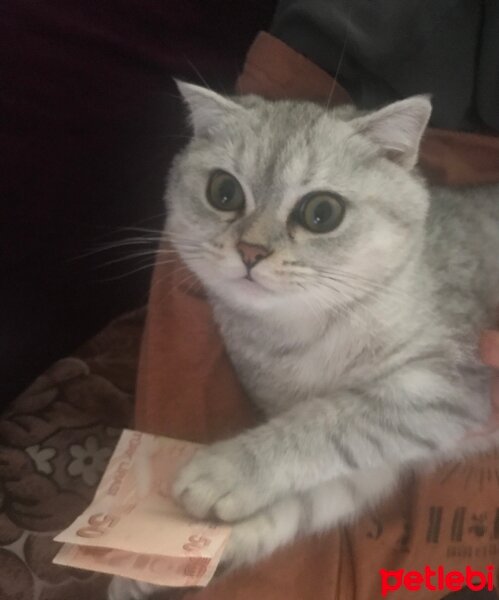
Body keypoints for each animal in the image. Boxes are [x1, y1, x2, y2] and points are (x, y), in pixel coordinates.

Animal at [108, 81, 499, 600]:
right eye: (223, 191)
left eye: (322, 213)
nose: (250, 250)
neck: (303, 332)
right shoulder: (374, 469)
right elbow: (300, 503)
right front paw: (164, 559)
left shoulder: (448, 385)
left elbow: (329, 421)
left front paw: (226, 470)